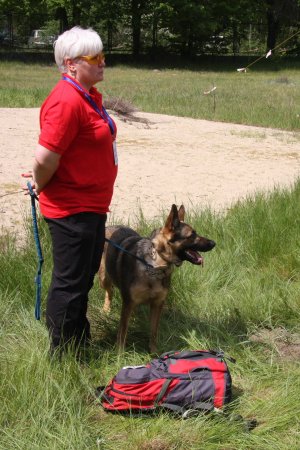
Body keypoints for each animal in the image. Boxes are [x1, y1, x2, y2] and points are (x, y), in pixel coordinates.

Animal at [99, 204, 214, 352]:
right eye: (192, 235)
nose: (213, 243)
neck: (155, 266)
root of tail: (109, 227)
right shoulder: (128, 303)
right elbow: (122, 332)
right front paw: (120, 353)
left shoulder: (157, 304)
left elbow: (154, 331)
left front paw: (154, 352)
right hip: (104, 278)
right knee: (110, 292)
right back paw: (106, 310)